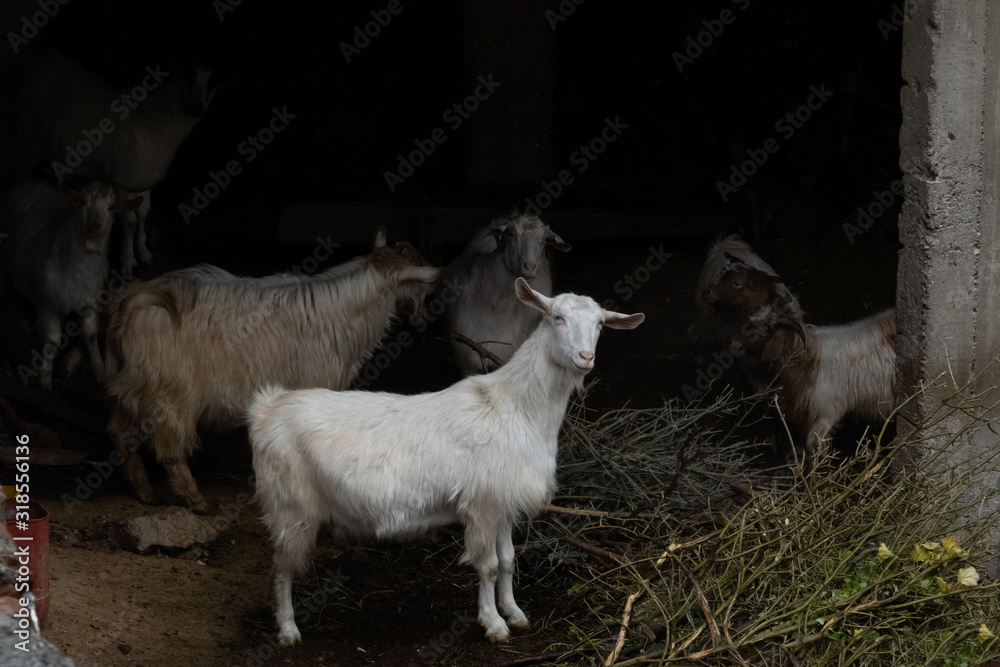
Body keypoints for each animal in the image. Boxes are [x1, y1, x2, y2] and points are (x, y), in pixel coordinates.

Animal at [0, 180, 142, 390]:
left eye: (110, 207)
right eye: (82, 202)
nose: (95, 225)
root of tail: (27, 183)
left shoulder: (88, 300)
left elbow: (90, 335)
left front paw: (100, 373)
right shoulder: (49, 302)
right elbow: (52, 341)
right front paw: (45, 379)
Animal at [15, 50, 216, 273]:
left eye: (211, 81)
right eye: (189, 75)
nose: (197, 109)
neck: (157, 122)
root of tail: (39, 59)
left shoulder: (142, 181)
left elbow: (143, 214)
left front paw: (144, 252)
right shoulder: (122, 181)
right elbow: (130, 222)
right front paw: (128, 262)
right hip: (26, 135)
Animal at [104, 230, 442, 514]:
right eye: (422, 281)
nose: (427, 316)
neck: (345, 311)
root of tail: (132, 301)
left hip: (128, 386)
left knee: (121, 434)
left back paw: (145, 491)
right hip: (171, 390)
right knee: (171, 447)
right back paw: (196, 499)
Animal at [248, 278, 644, 646]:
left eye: (600, 324)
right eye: (556, 317)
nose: (585, 357)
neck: (515, 407)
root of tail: (267, 409)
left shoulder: (503, 502)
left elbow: (508, 560)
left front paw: (515, 613)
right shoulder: (481, 503)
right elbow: (488, 566)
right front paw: (494, 624)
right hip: (289, 506)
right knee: (281, 567)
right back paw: (288, 628)